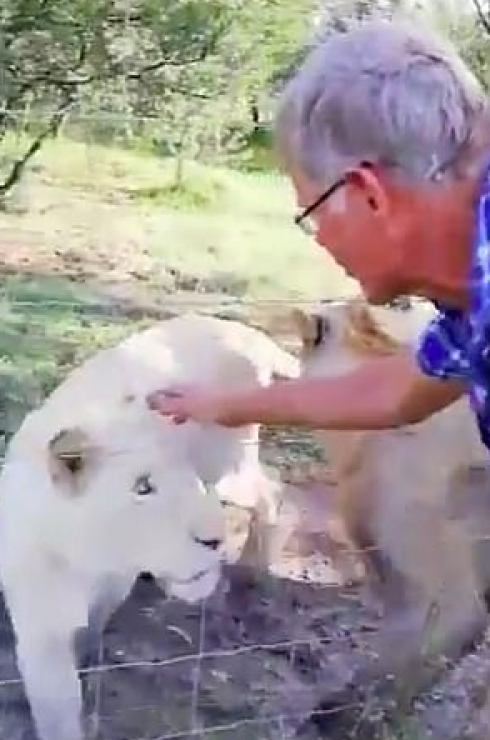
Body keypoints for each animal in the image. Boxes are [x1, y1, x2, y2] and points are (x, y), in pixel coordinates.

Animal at [0, 310, 298, 740]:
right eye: (143, 487)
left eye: (180, 474)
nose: (215, 540)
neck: (88, 556)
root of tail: (244, 331)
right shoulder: (43, 626)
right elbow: (60, 703)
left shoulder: (111, 585)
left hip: (228, 467)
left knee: (272, 490)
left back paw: (252, 569)